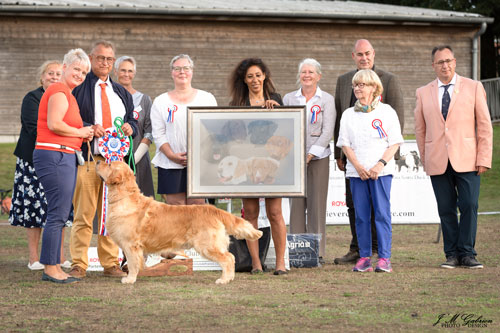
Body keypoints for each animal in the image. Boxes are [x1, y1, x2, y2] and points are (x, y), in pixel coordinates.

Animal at [95, 160, 264, 282]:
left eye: (109, 164)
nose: (96, 161)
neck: (124, 198)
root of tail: (213, 209)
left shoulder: (131, 245)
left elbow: (132, 263)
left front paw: (129, 279)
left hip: (207, 246)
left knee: (228, 258)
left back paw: (223, 280)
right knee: (231, 257)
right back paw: (229, 278)